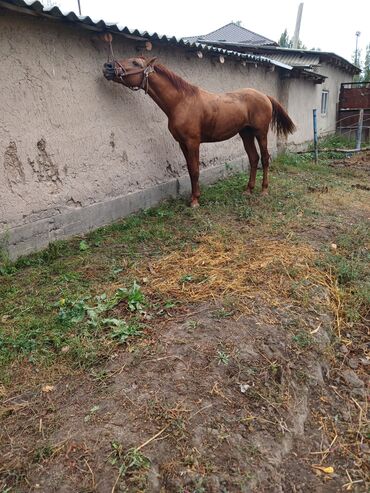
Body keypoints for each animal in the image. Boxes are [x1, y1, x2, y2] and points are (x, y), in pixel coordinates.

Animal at [102, 55, 296, 206]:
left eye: (135, 63)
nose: (108, 66)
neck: (181, 102)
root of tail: (265, 96)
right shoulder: (182, 143)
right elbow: (189, 169)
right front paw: (194, 196)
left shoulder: (193, 142)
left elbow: (195, 169)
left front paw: (195, 200)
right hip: (245, 134)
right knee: (253, 158)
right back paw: (248, 190)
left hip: (260, 133)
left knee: (264, 158)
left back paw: (264, 191)